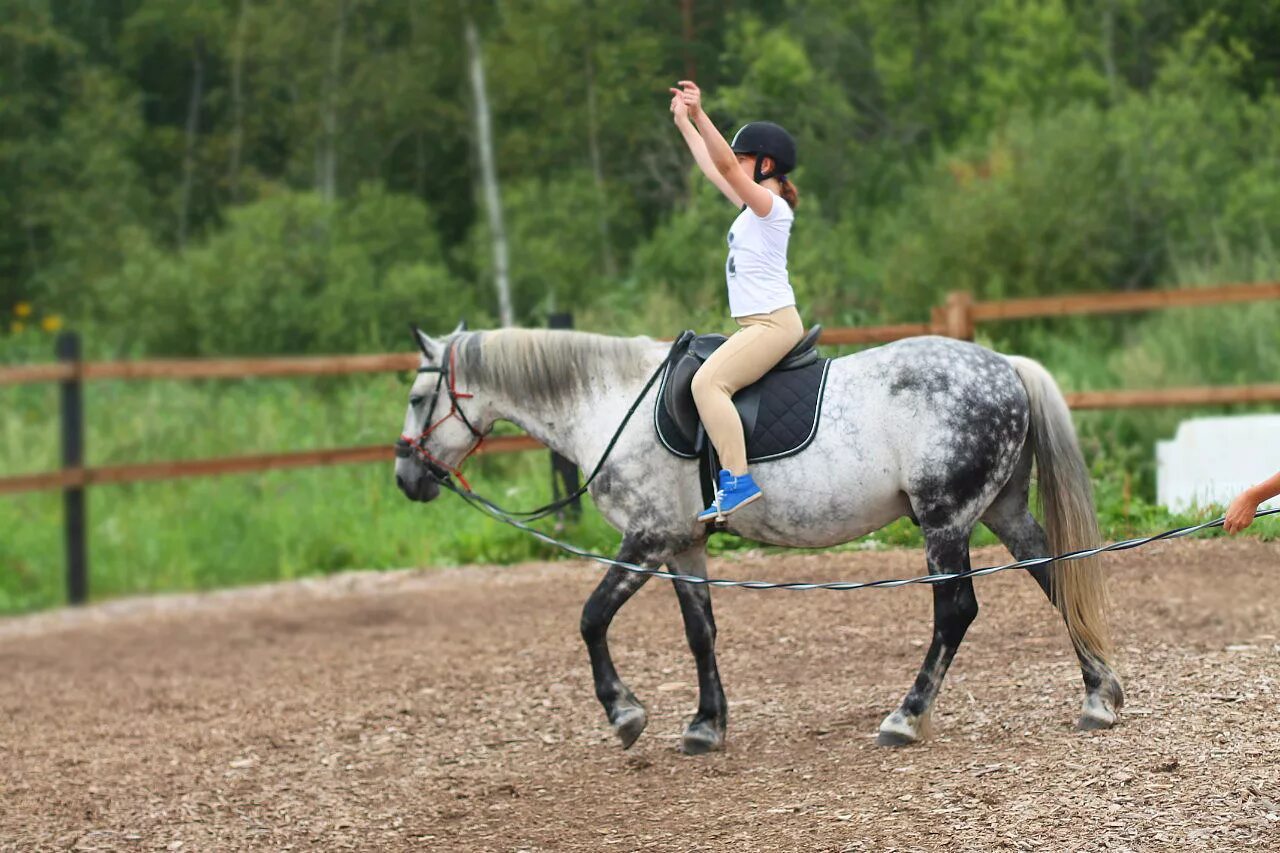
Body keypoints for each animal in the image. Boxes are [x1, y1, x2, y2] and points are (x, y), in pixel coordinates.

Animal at [394, 324, 1126, 753]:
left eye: (416, 398)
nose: (406, 477)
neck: (612, 401)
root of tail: (1005, 365)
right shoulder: (684, 545)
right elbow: (700, 632)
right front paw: (705, 725)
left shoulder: (648, 537)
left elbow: (591, 617)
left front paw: (624, 714)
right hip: (1000, 510)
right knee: (1056, 578)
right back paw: (1099, 698)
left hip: (945, 520)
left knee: (956, 611)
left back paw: (905, 717)